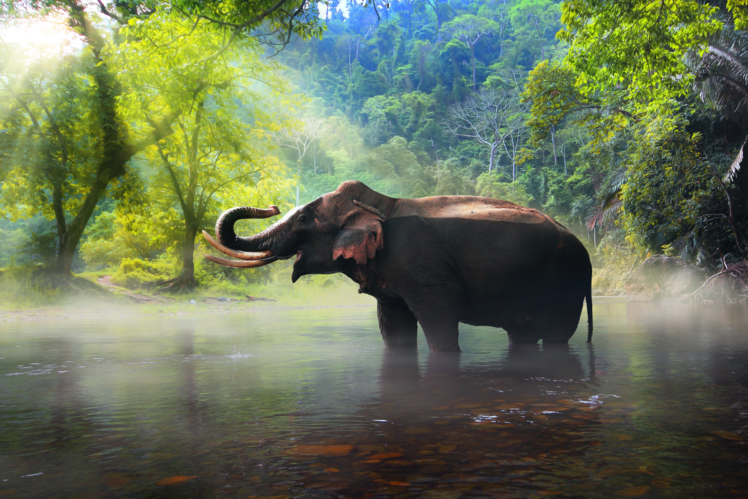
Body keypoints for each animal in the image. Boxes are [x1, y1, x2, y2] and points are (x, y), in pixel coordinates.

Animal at [203, 180, 593, 352]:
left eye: (302, 218)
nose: (271, 205)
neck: (382, 205)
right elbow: (393, 324)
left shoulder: (422, 266)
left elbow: (440, 318)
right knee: (521, 334)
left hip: (565, 281)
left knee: (557, 335)